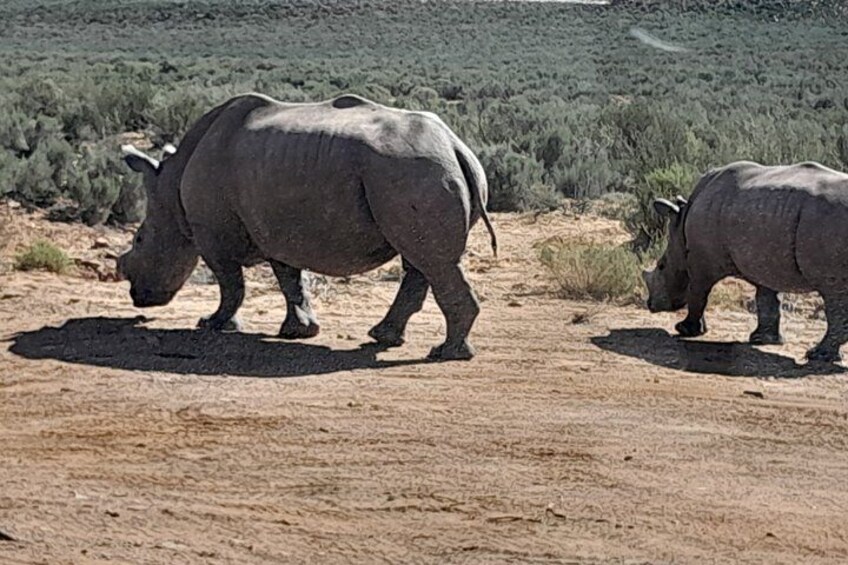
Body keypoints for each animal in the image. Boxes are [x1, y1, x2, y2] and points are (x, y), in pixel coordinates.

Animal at [117, 92, 497, 361]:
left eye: (140, 240)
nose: (138, 298)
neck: (170, 187)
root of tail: (455, 146)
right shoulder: (275, 227)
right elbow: (290, 279)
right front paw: (299, 331)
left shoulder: (211, 232)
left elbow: (231, 283)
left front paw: (213, 325)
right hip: (420, 173)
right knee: (420, 262)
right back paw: (385, 337)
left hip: (413, 172)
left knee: (434, 262)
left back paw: (445, 353)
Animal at [643, 160, 848, 363]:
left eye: (661, 266)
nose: (650, 305)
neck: (681, 226)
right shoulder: (764, 262)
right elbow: (766, 300)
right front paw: (762, 339)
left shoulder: (702, 264)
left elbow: (698, 294)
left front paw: (684, 330)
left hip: (826, 225)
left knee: (834, 296)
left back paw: (816, 355)